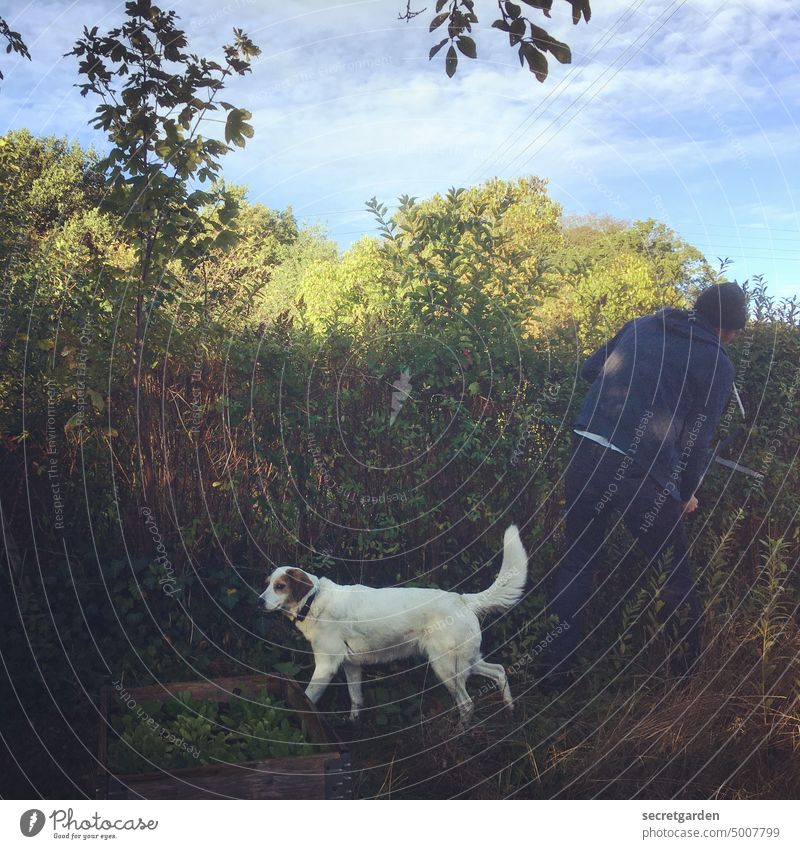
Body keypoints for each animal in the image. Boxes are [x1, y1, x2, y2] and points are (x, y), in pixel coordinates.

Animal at [260, 524, 528, 724]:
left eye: (280, 586)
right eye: (267, 584)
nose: (259, 601)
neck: (313, 600)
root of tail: (461, 598)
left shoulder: (326, 666)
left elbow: (306, 701)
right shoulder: (351, 666)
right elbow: (356, 699)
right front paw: (354, 724)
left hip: (446, 667)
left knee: (467, 704)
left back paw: (461, 734)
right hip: (466, 661)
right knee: (499, 671)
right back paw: (510, 710)